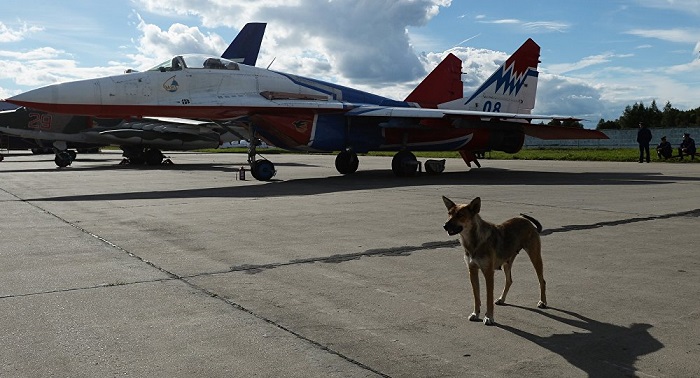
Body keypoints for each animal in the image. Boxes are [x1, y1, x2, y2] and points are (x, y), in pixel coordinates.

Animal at [442, 195, 548, 324]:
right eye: (449, 213)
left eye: (460, 215)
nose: (445, 226)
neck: (474, 241)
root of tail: (527, 221)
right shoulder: (472, 271)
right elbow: (476, 296)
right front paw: (475, 313)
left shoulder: (488, 273)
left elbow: (488, 297)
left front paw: (489, 317)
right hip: (507, 263)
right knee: (509, 280)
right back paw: (502, 299)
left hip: (535, 256)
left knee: (542, 281)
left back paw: (543, 302)